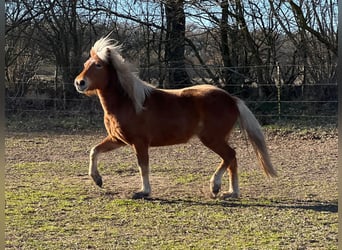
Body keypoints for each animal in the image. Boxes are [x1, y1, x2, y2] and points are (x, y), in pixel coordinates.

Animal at [73, 35, 276, 199]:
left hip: (212, 138)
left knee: (230, 155)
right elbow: (94, 150)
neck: (129, 102)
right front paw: (97, 179)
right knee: (231, 159)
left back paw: (215, 186)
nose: (79, 83)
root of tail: (232, 99)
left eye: (98, 65)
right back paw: (231, 192)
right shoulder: (118, 139)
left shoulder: (139, 142)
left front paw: (143, 192)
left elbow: (143, 166)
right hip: (218, 138)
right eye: (85, 64)